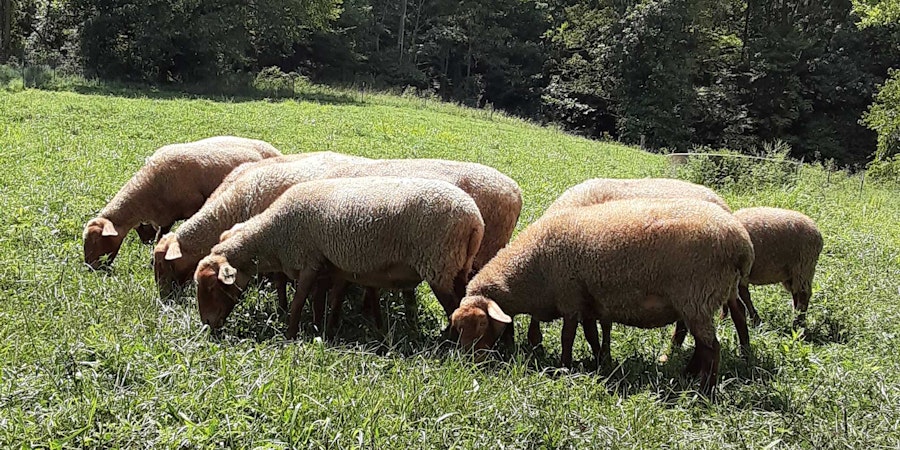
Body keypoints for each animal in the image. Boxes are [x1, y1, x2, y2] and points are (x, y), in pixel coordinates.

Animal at [83, 136, 282, 269]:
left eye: (97, 241)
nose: (90, 268)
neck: (149, 187)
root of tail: (273, 149)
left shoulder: (193, 208)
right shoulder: (164, 218)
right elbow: (160, 237)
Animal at [193, 176, 484, 340]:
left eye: (212, 287)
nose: (207, 324)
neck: (273, 235)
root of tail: (475, 219)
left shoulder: (309, 262)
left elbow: (299, 302)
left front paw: (289, 335)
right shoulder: (326, 267)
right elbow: (319, 302)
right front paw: (319, 329)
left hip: (439, 265)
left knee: (454, 307)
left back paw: (447, 344)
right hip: (458, 267)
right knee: (462, 302)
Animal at [449, 198, 753, 392]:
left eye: (481, 325)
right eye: (457, 327)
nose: (467, 363)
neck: (534, 268)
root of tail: (742, 244)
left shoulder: (570, 297)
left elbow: (568, 336)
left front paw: (564, 367)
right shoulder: (588, 302)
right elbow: (592, 335)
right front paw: (599, 362)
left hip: (697, 296)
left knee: (712, 347)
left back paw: (704, 390)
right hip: (703, 299)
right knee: (705, 343)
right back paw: (688, 374)